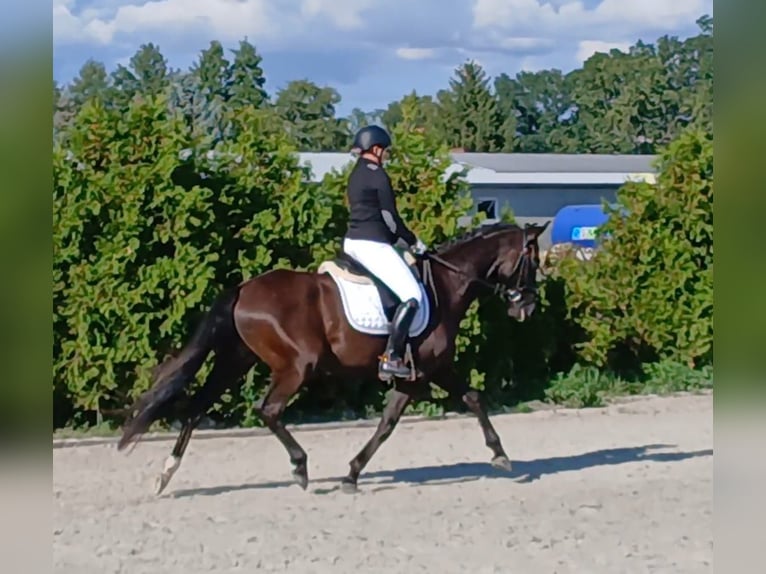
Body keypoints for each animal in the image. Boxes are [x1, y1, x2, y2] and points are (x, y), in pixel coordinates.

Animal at [117, 220, 550, 495]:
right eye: (532, 259)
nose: (526, 307)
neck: (445, 284)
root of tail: (243, 289)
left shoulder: (429, 371)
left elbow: (463, 402)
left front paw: (500, 455)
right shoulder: (423, 372)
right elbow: (394, 423)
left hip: (235, 361)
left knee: (196, 408)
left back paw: (165, 475)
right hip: (296, 366)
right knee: (268, 410)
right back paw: (300, 467)